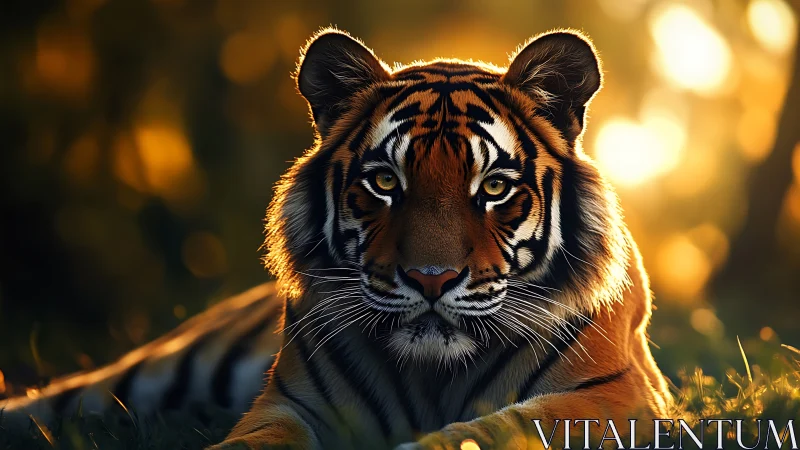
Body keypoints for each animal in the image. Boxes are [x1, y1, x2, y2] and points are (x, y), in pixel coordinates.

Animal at [0, 27, 673, 449]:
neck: (431, 376)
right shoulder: (289, 407)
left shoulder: (615, 399)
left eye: (495, 187)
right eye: (385, 181)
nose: (431, 280)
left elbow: (490, 431)